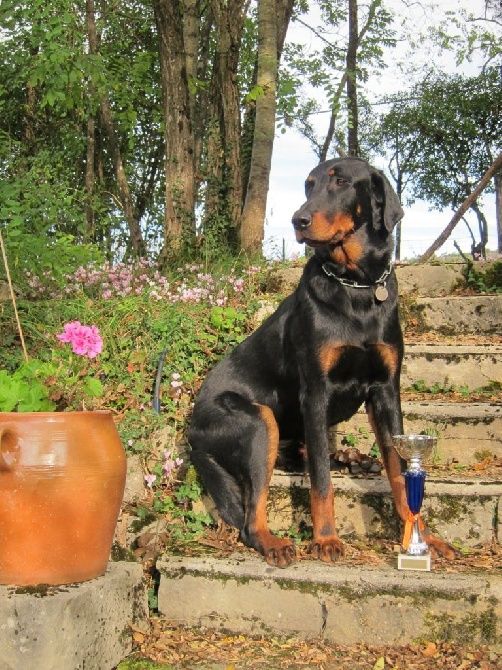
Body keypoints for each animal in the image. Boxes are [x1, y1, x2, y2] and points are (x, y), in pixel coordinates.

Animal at [188, 156, 454, 568]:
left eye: (341, 182)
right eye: (307, 185)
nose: (298, 220)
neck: (356, 285)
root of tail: (191, 433)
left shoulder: (386, 391)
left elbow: (398, 471)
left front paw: (422, 537)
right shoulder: (315, 392)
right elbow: (322, 481)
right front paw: (326, 538)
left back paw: (355, 460)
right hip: (258, 420)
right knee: (251, 515)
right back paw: (273, 542)